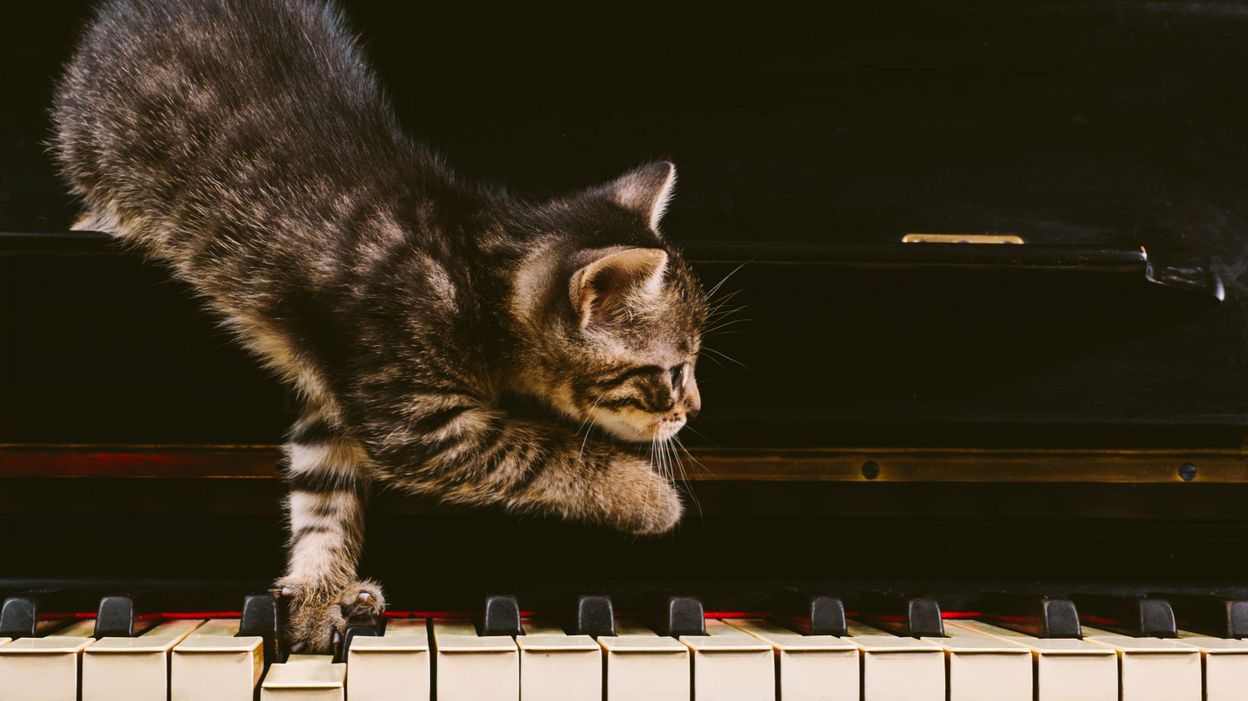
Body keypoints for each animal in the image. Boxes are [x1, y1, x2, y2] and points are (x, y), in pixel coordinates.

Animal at [53, 0, 708, 648]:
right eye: (675, 370)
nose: (693, 409)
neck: (474, 268)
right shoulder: (415, 421)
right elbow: (539, 453)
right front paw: (647, 497)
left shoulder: (336, 400)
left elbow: (323, 492)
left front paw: (319, 592)